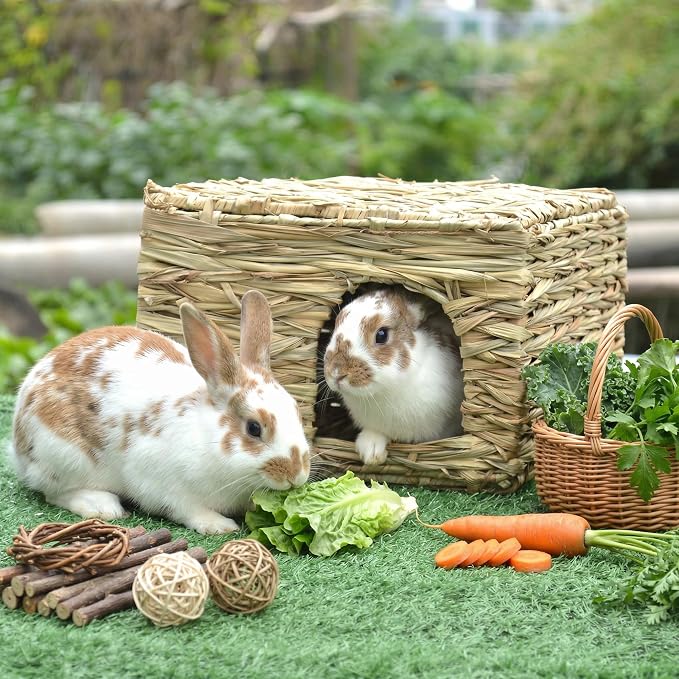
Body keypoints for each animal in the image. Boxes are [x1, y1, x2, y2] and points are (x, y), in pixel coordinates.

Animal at [8, 290, 310, 534]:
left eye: (297, 412)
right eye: (254, 428)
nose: (297, 474)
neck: (207, 436)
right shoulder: (162, 484)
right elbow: (187, 509)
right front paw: (219, 526)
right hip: (64, 456)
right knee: (53, 492)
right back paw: (103, 506)